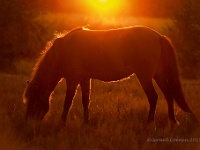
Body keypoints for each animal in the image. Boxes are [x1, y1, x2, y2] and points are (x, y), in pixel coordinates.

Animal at [23, 25, 197, 125]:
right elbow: (85, 101)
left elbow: (68, 103)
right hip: (158, 75)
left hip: (145, 76)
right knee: (169, 95)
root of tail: (159, 37)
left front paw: (62, 123)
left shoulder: (72, 80)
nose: (28, 124)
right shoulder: (85, 79)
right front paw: (86, 123)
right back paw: (172, 122)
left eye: (33, 103)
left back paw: (150, 123)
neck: (63, 51)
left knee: (154, 97)